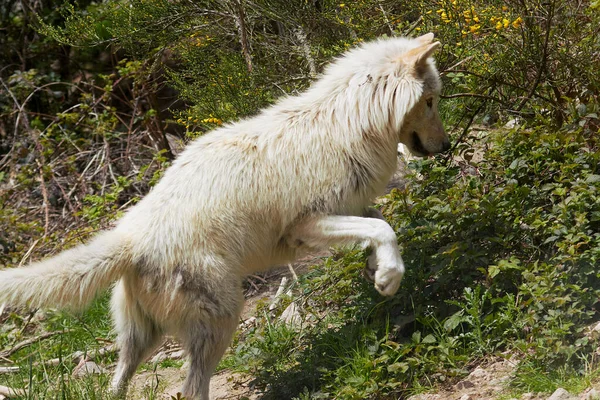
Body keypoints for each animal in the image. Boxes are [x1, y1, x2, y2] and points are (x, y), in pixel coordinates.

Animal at [0, 32, 446, 398]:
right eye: (431, 101)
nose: (446, 146)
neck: (349, 125)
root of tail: (130, 238)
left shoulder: (345, 211)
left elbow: (379, 223)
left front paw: (378, 270)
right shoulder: (307, 224)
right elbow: (383, 227)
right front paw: (389, 277)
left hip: (141, 339)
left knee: (118, 383)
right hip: (222, 320)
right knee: (191, 391)